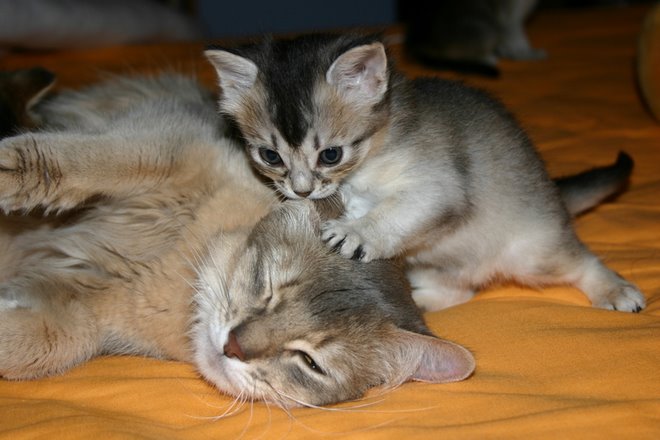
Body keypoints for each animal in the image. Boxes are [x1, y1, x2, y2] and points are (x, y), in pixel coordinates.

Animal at [0, 74, 474, 408]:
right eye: (268, 288)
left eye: (310, 362)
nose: (233, 346)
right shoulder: (167, 145)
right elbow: (75, 162)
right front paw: (8, 169)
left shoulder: (86, 314)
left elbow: (39, 347)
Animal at [205, 33, 644, 312]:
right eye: (270, 156)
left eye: (331, 154)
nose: (300, 191)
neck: (379, 146)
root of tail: (554, 195)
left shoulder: (440, 185)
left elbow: (397, 211)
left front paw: (355, 231)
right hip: (436, 264)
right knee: (461, 293)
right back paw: (420, 301)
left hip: (533, 254)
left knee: (582, 261)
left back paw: (616, 291)